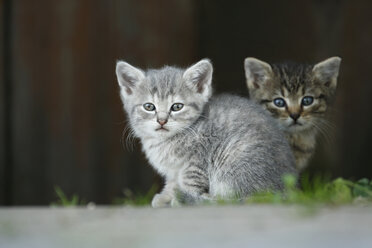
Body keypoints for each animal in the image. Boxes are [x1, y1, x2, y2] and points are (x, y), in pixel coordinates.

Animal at [116, 59, 296, 206]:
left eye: (177, 107)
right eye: (149, 106)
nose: (161, 120)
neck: (165, 141)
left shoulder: (197, 160)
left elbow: (189, 183)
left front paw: (183, 197)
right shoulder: (174, 170)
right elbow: (173, 182)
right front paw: (166, 196)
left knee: (232, 200)